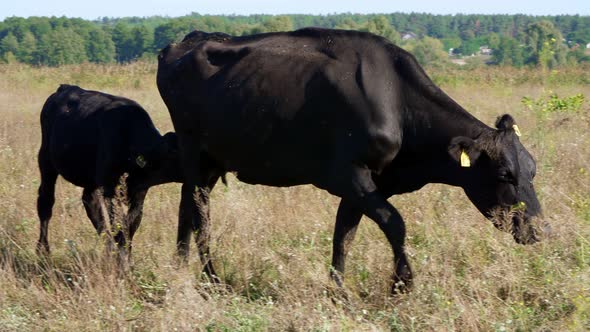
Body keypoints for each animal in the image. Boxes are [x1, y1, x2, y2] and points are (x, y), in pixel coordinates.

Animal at [38, 85, 182, 256]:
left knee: (90, 201)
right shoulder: (110, 189)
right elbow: (119, 224)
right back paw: (43, 250)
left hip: (92, 179)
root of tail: (65, 87)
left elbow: (131, 224)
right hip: (46, 161)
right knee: (45, 202)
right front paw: (122, 258)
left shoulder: (140, 192)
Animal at [156, 29, 544, 294]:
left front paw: (338, 290)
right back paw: (212, 280)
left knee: (187, 206)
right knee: (200, 211)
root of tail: (188, 41)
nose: (542, 230)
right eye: (505, 174)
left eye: (532, 170)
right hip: (193, 149)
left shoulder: (368, 182)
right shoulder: (347, 174)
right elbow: (395, 223)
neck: (397, 101)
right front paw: (402, 284)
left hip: (212, 158)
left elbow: (344, 234)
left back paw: (179, 268)